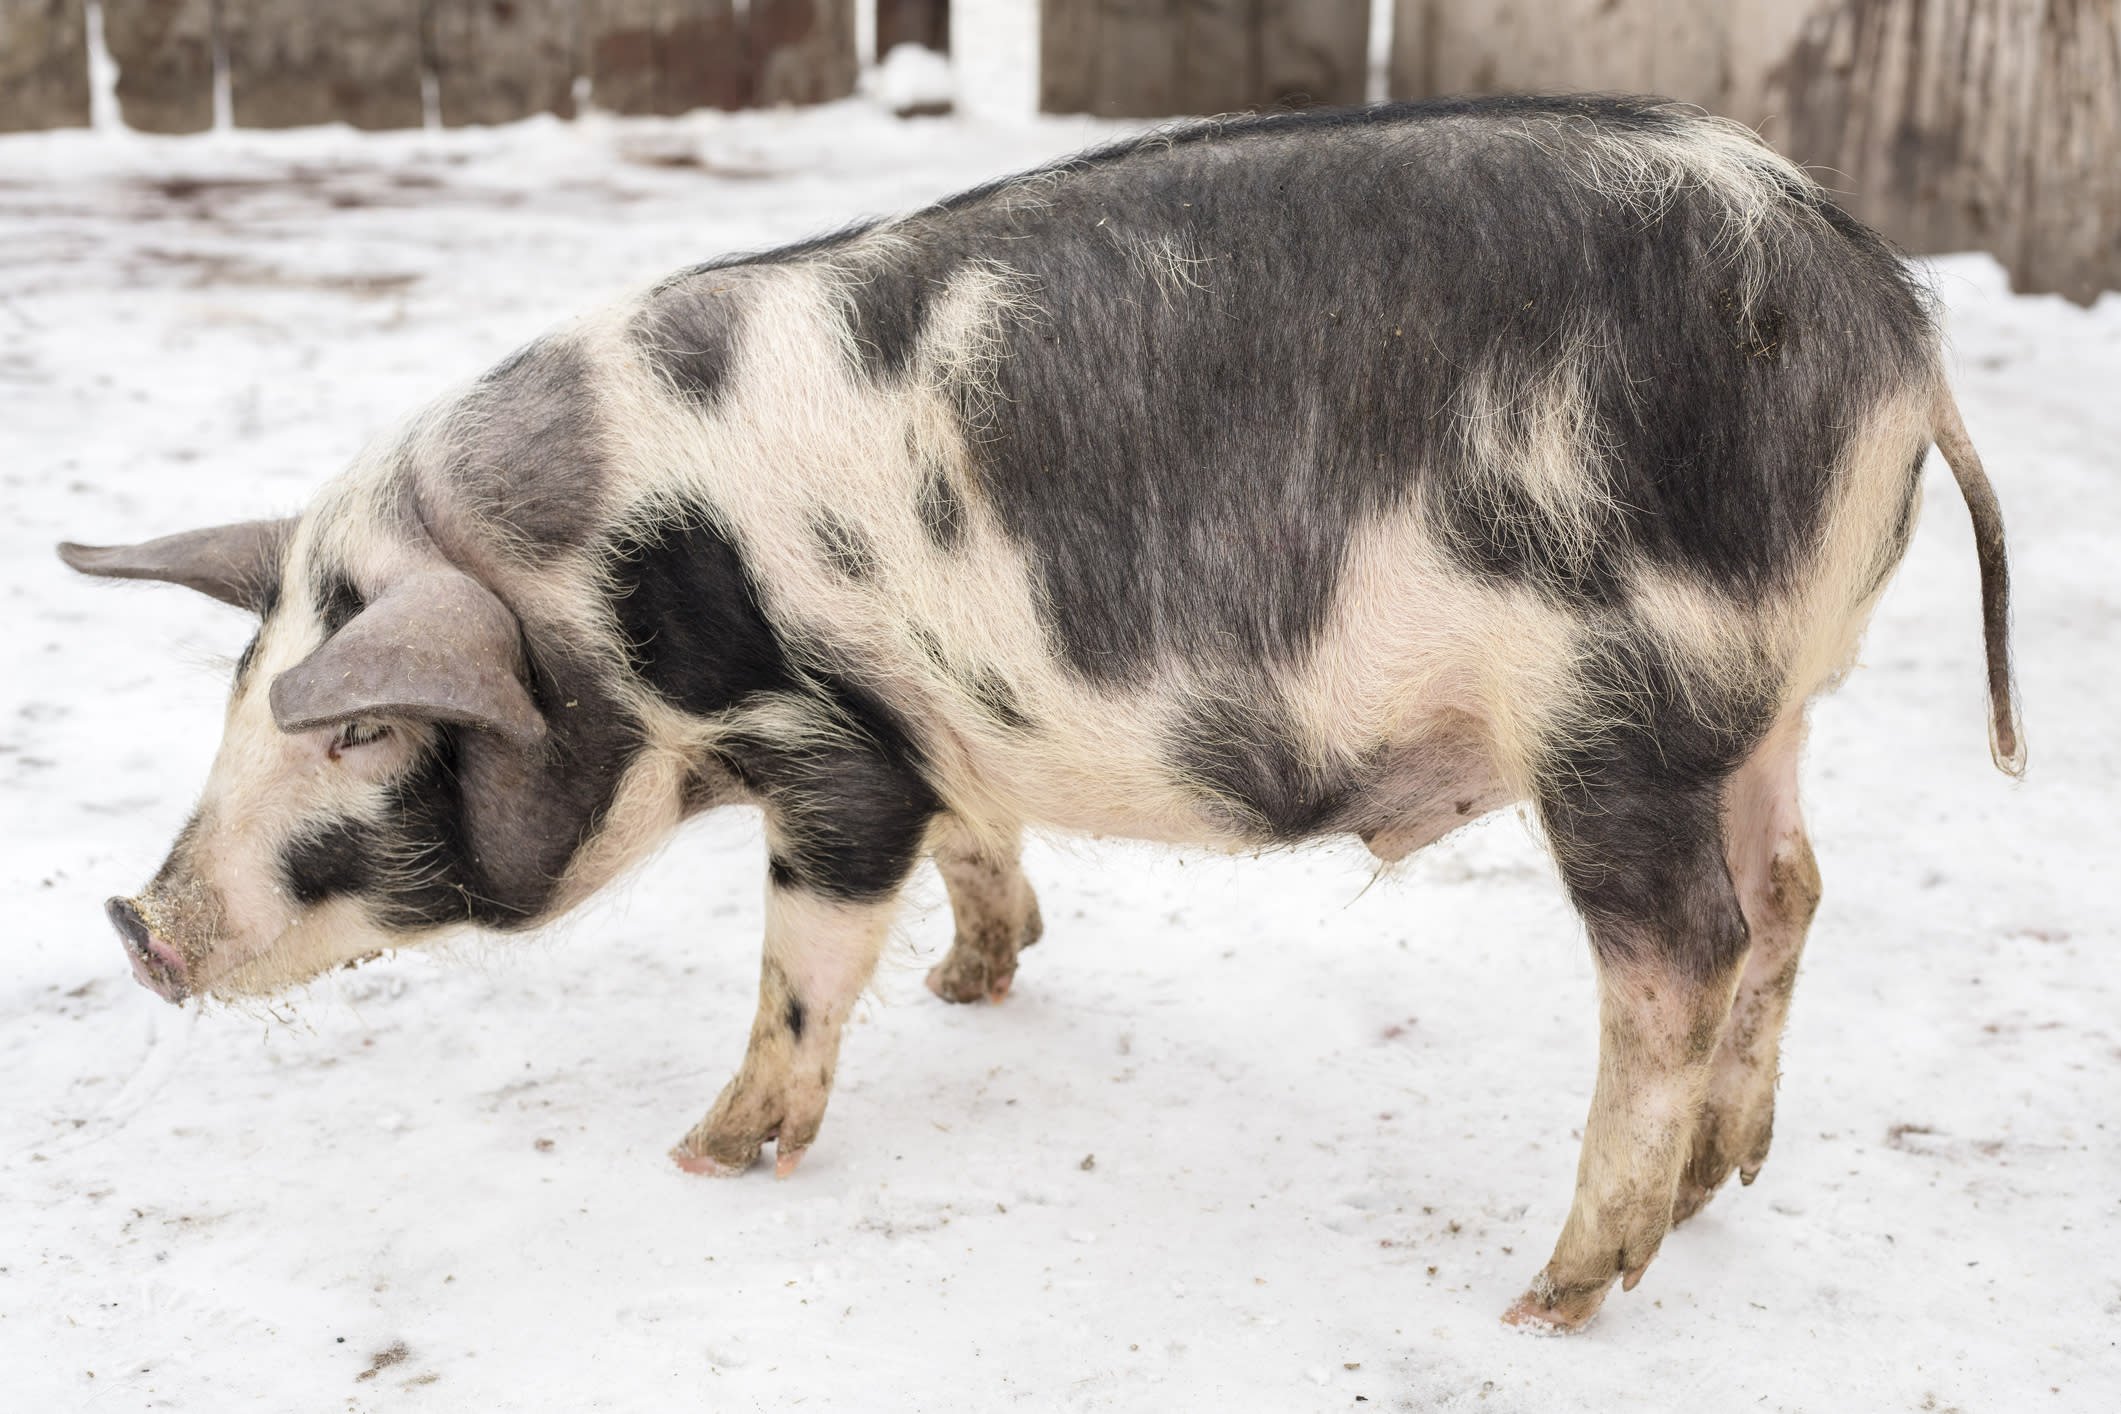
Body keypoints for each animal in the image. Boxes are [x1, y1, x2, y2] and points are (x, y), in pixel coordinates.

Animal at [62, 99, 2019, 1339]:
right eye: (245, 693)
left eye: (356, 733)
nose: (136, 923)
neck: (586, 585)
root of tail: (1897, 322)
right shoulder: (931, 728)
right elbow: (972, 841)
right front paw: (971, 984)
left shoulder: (819, 737)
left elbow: (808, 944)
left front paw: (706, 1152)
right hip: (1759, 706)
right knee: (1794, 888)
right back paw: (1715, 1186)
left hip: (1622, 704)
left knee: (1682, 948)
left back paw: (1551, 1293)